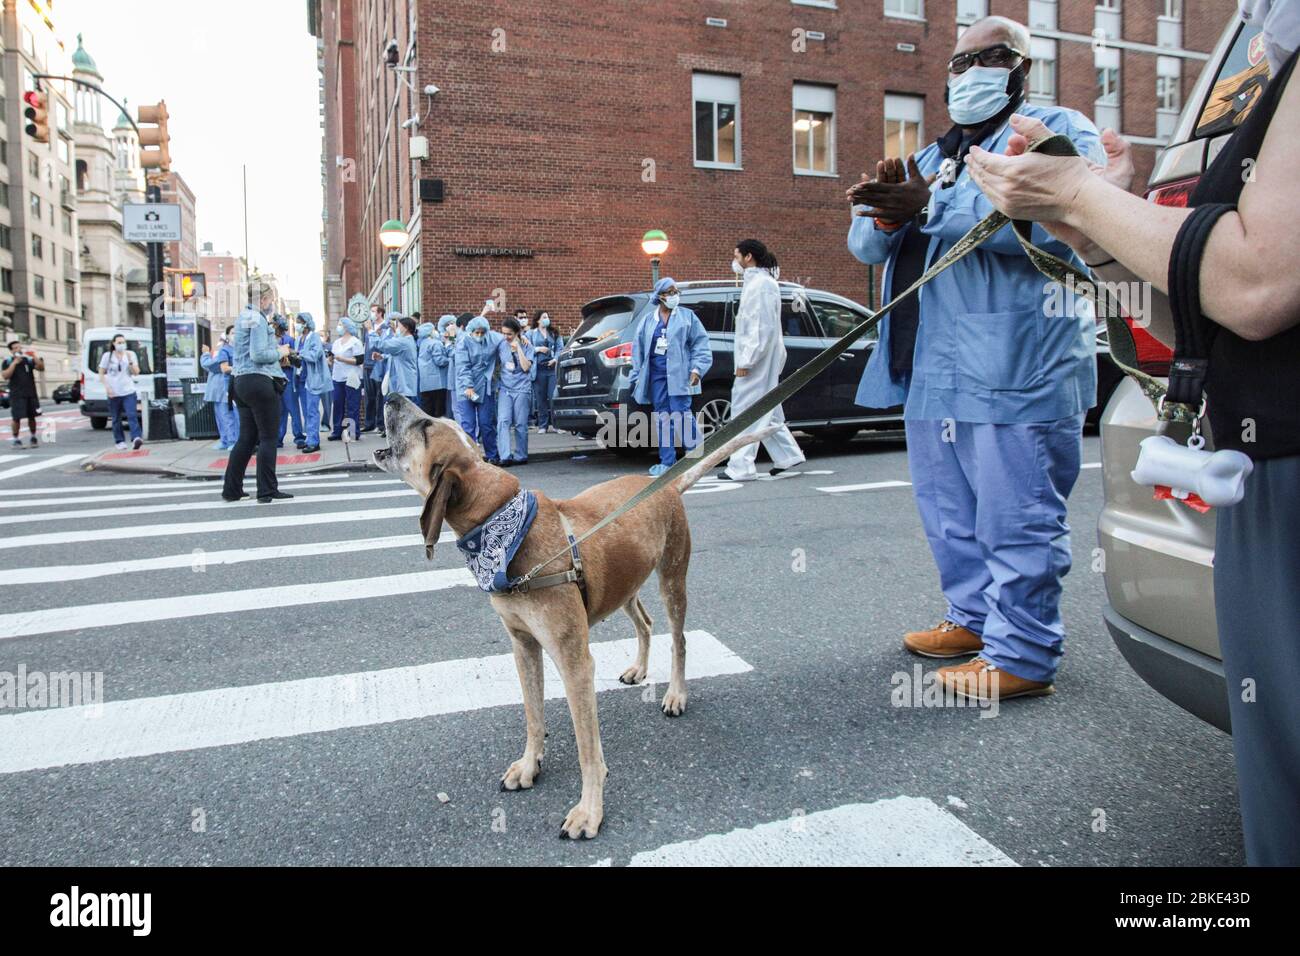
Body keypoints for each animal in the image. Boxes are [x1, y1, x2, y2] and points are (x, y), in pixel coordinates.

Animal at [369, 395, 769, 837]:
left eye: (425, 427)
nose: (391, 398)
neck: (503, 528)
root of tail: (666, 483)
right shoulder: (523, 645)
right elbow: (533, 715)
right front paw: (530, 765)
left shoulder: (574, 661)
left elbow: (587, 749)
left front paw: (589, 810)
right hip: (624, 585)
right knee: (645, 624)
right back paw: (638, 668)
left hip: (672, 579)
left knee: (678, 639)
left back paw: (676, 694)